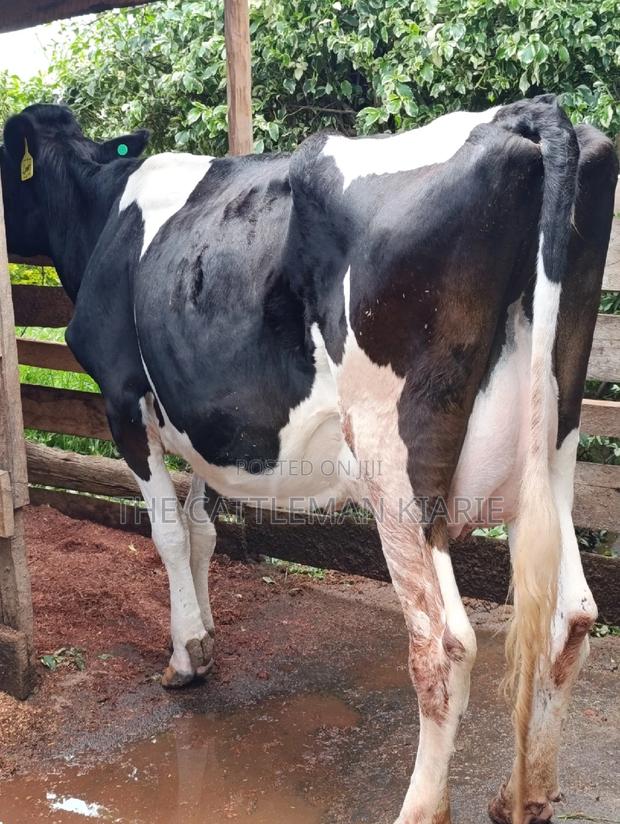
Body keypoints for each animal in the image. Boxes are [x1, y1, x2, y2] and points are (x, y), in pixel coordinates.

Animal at [1, 97, 616, 824]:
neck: (102, 208)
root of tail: (522, 114)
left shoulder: (123, 397)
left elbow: (170, 534)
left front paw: (185, 655)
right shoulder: (220, 426)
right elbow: (203, 529)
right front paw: (205, 637)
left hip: (396, 465)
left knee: (442, 643)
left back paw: (421, 806)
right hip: (550, 447)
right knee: (570, 614)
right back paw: (527, 793)